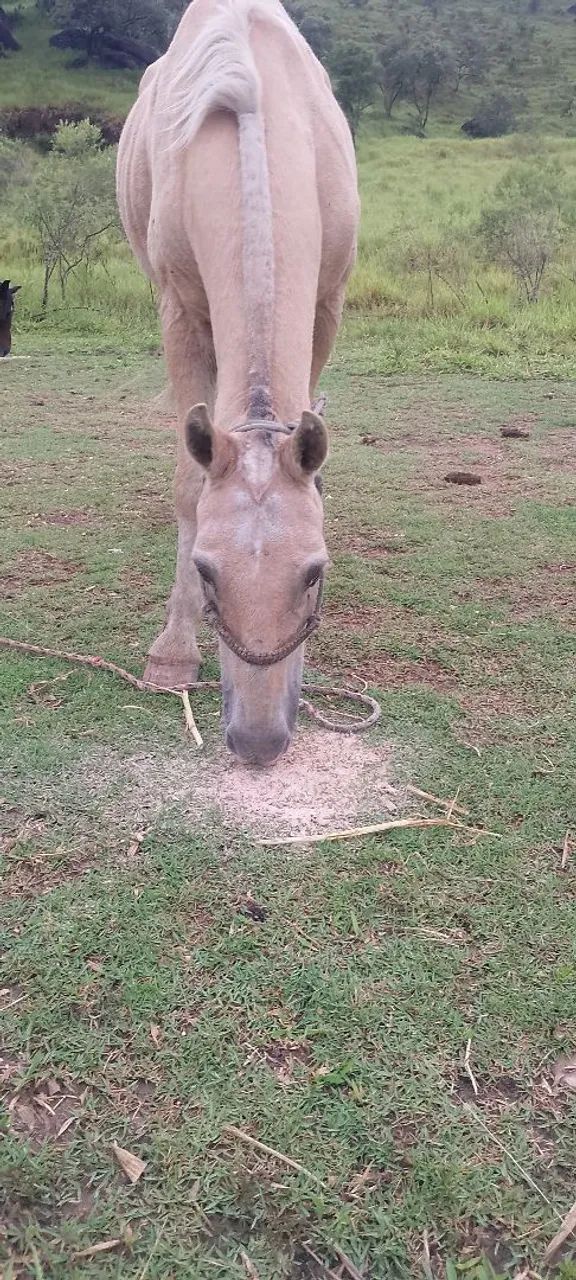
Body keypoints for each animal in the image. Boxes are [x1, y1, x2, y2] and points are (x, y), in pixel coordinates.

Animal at [117, 0, 359, 765]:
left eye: (314, 572)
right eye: (206, 570)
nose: (258, 741)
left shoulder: (326, 306)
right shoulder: (179, 311)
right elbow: (189, 483)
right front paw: (172, 652)